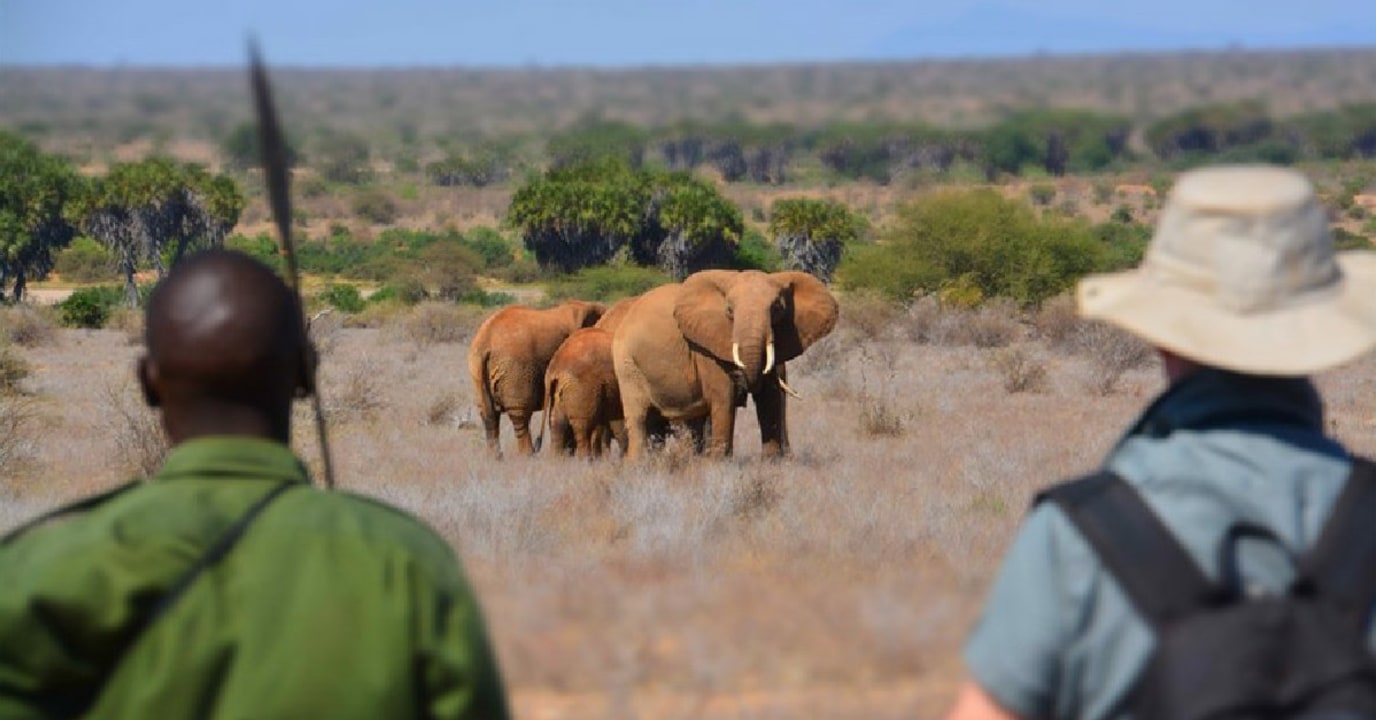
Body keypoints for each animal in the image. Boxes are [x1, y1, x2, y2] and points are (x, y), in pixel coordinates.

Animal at [467, 300, 604, 455]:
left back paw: (496, 457)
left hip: (476, 370)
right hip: (516, 369)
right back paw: (528, 455)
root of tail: (484, 340)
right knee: (520, 415)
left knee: (489, 414)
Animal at [612, 269, 839, 460]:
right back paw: (638, 465)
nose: (740, 378)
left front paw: (771, 464)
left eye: (777, 309)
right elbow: (724, 399)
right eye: (729, 311)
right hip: (627, 365)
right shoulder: (707, 349)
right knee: (639, 418)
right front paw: (718, 465)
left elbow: (770, 399)